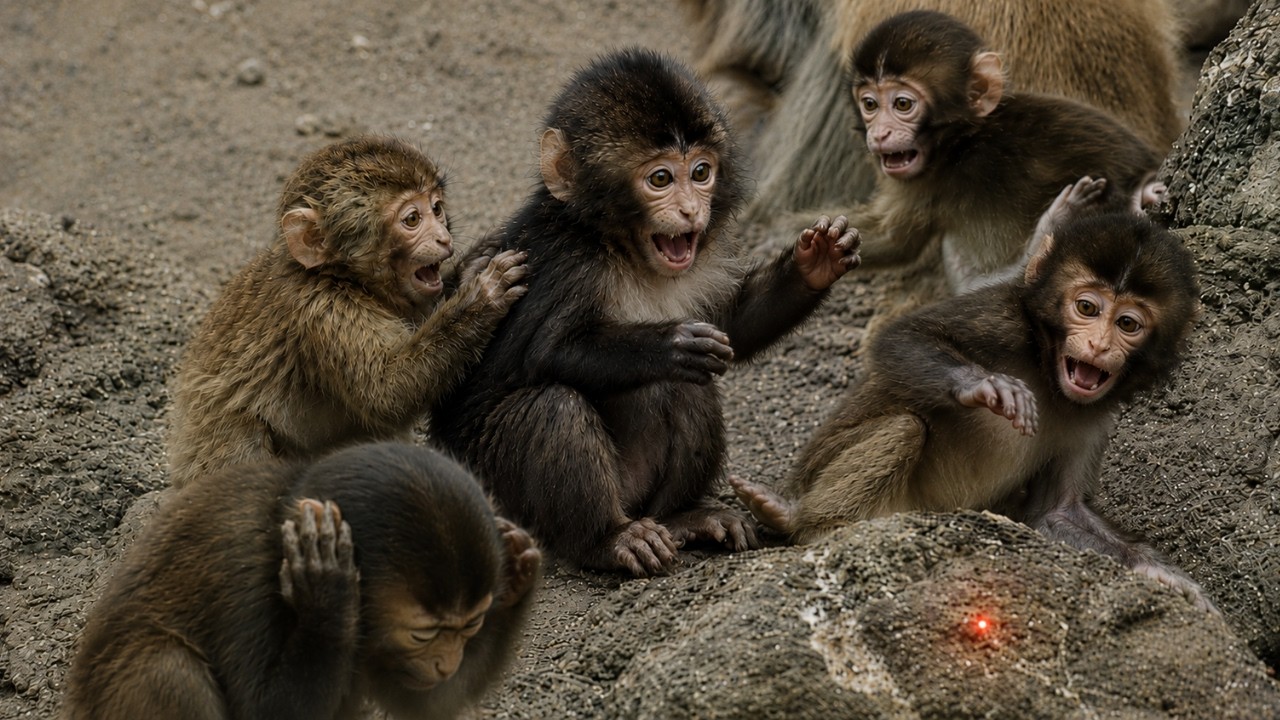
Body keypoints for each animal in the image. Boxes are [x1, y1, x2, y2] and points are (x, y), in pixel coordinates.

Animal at [61, 442, 541, 719]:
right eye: (424, 634)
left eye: (470, 626)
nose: (447, 663)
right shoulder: (246, 576)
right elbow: (266, 712)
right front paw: (328, 595)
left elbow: (427, 703)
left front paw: (519, 566)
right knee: (168, 670)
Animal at [166, 136, 528, 487]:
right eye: (412, 219)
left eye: (437, 209)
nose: (443, 238)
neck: (341, 278)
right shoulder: (324, 311)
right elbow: (386, 393)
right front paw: (481, 296)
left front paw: (470, 269)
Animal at [431, 49, 861, 577]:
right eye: (660, 179)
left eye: (701, 173)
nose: (690, 211)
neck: (624, 251)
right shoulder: (564, 262)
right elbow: (544, 352)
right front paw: (670, 344)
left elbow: (731, 326)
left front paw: (815, 261)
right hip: (499, 495)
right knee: (553, 405)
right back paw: (607, 539)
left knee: (692, 390)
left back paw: (682, 518)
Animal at [731, 211, 1217, 612]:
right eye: (1086, 307)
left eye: (1127, 324)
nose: (1098, 345)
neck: (1047, 368)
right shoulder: (1002, 316)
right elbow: (900, 338)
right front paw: (982, 386)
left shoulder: (1098, 420)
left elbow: (1056, 512)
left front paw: (1159, 572)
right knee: (905, 426)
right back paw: (802, 519)